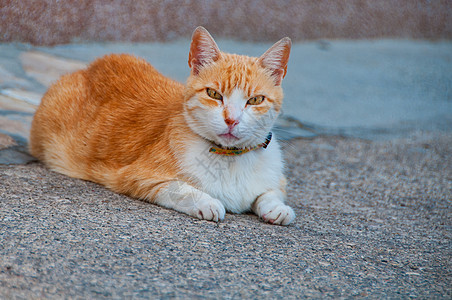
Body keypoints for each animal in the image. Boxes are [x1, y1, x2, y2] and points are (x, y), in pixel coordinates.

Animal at [29, 27, 296, 225]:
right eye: (214, 94)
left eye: (255, 100)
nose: (232, 119)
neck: (230, 158)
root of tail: (96, 64)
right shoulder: (138, 178)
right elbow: (181, 189)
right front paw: (207, 202)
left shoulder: (276, 181)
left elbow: (272, 193)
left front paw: (278, 208)